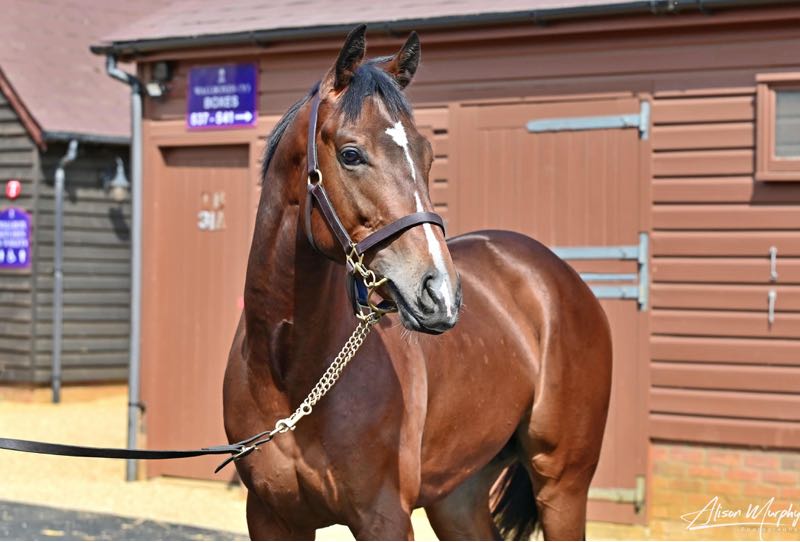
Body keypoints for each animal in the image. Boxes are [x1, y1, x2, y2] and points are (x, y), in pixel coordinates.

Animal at [223, 25, 612, 541]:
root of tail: (562, 279)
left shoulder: (384, 517)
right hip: (458, 495)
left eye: (427, 155)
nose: (440, 294)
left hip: (562, 486)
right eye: (351, 154)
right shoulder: (271, 517)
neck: (289, 375)